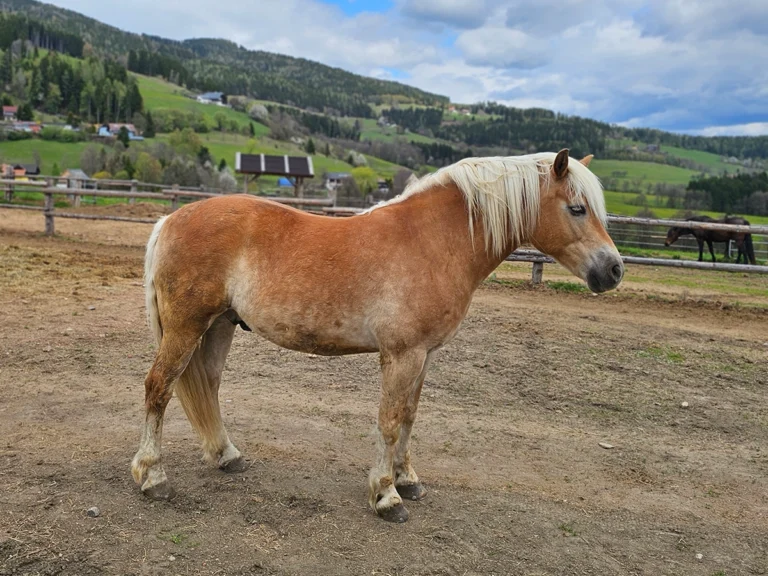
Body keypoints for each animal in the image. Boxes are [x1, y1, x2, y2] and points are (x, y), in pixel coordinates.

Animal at [130, 149, 624, 523]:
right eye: (577, 208)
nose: (614, 270)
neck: (432, 241)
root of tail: (170, 220)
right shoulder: (402, 354)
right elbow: (389, 422)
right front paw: (387, 496)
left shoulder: (424, 355)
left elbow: (409, 417)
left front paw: (409, 480)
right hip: (187, 327)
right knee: (159, 387)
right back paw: (152, 477)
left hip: (218, 326)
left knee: (207, 386)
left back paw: (227, 455)